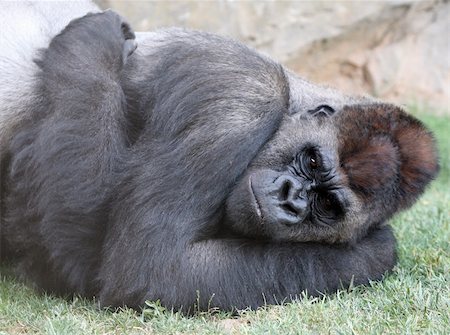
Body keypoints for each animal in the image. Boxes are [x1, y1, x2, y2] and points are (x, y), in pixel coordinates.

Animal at [0, 7, 440, 312]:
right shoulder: (243, 98)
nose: (290, 198)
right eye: (312, 162)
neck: (296, 95)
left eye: (328, 205)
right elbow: (144, 265)